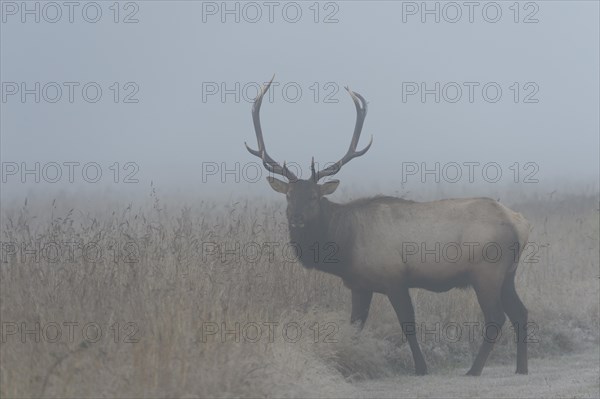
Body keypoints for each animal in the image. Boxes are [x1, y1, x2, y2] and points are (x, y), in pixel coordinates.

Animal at [244, 77, 528, 376]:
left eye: (314, 196)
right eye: (288, 196)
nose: (296, 218)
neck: (344, 248)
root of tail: (520, 224)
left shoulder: (394, 278)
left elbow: (408, 324)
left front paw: (421, 368)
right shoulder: (359, 285)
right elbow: (355, 325)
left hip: (486, 271)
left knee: (496, 317)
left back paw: (474, 369)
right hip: (508, 274)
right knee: (520, 313)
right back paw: (521, 368)